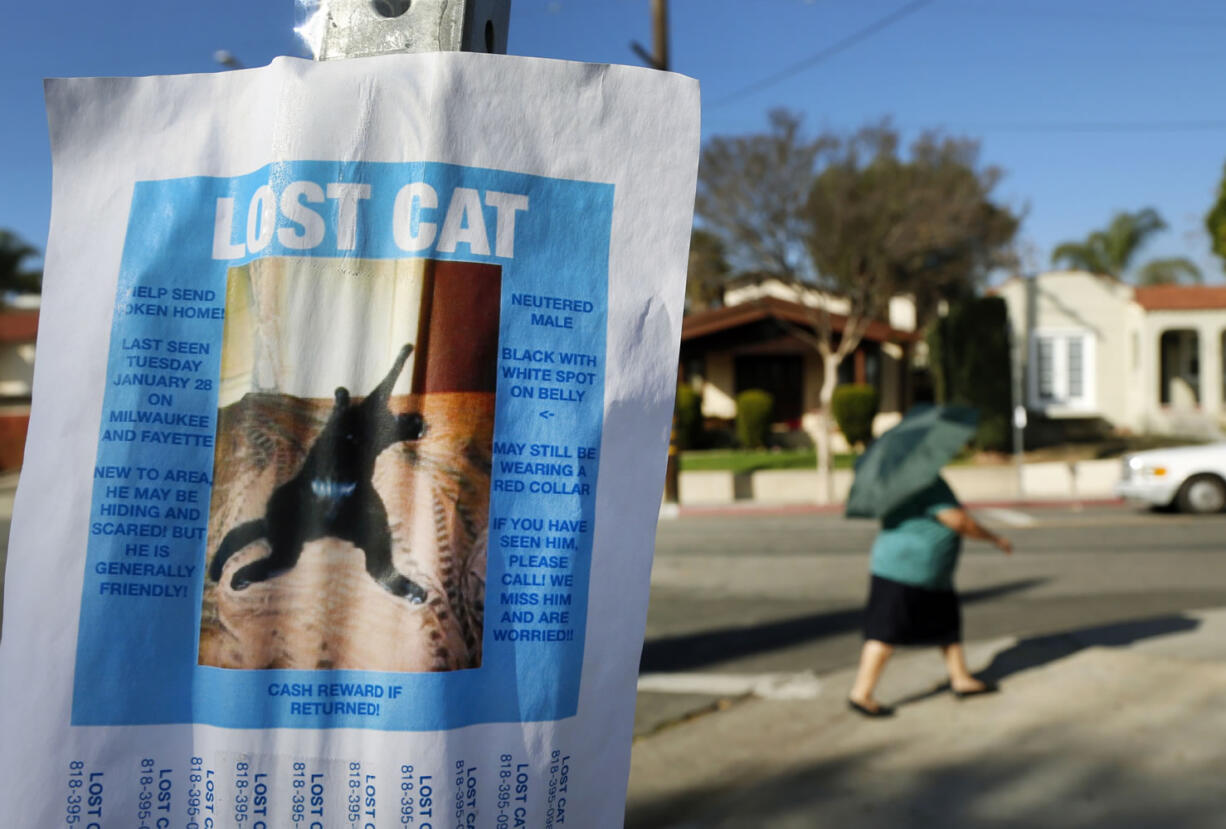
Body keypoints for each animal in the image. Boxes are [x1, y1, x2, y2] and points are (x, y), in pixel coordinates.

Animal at [214, 343, 431, 603]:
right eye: (418, 424)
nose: (424, 427)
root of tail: (327, 526)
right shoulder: (368, 409)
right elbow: (382, 384)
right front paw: (344, 392)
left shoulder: (369, 409)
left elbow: (382, 384)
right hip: (293, 507)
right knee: (284, 558)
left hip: (370, 516)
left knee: (368, 566)